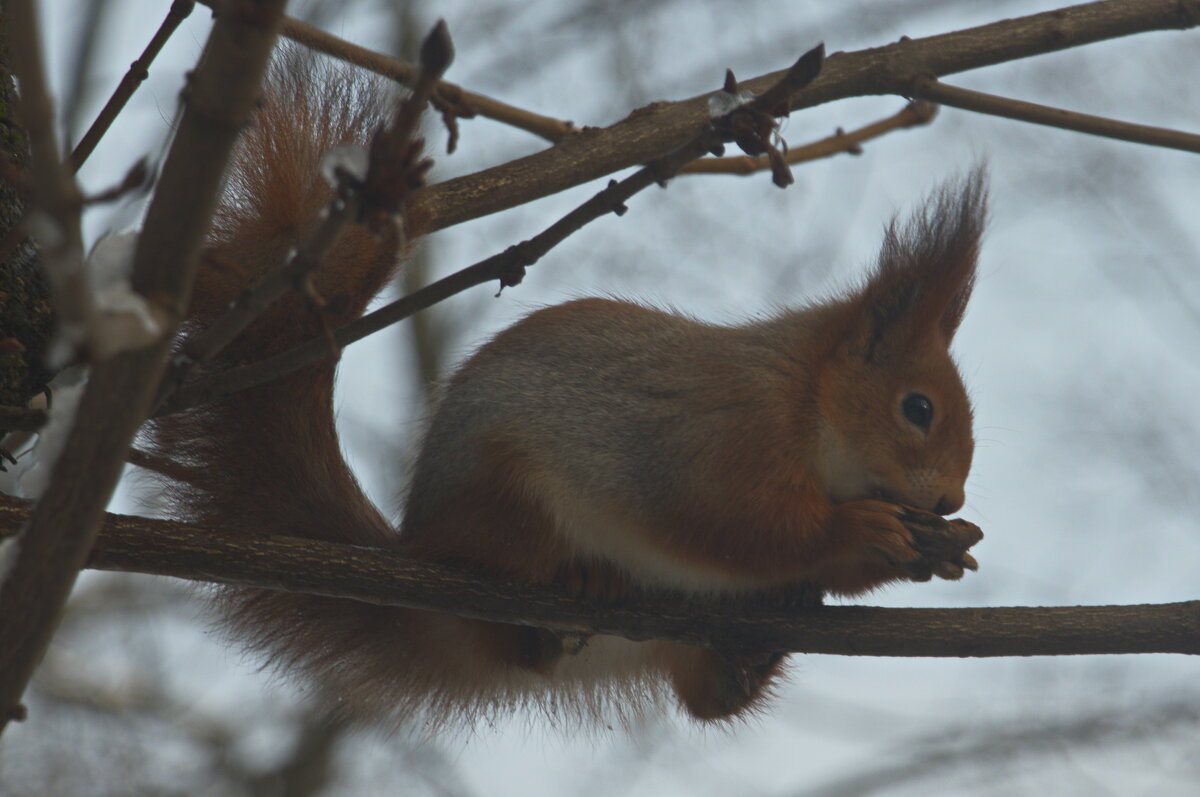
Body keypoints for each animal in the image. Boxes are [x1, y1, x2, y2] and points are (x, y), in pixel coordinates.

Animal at [142, 52, 984, 729]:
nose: (949, 499)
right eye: (918, 408)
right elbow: (738, 522)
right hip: (503, 493)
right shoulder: (726, 430)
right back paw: (582, 575)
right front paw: (861, 533)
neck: (809, 399)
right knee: (521, 598)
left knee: (704, 695)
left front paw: (938, 548)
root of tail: (419, 544)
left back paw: (753, 650)